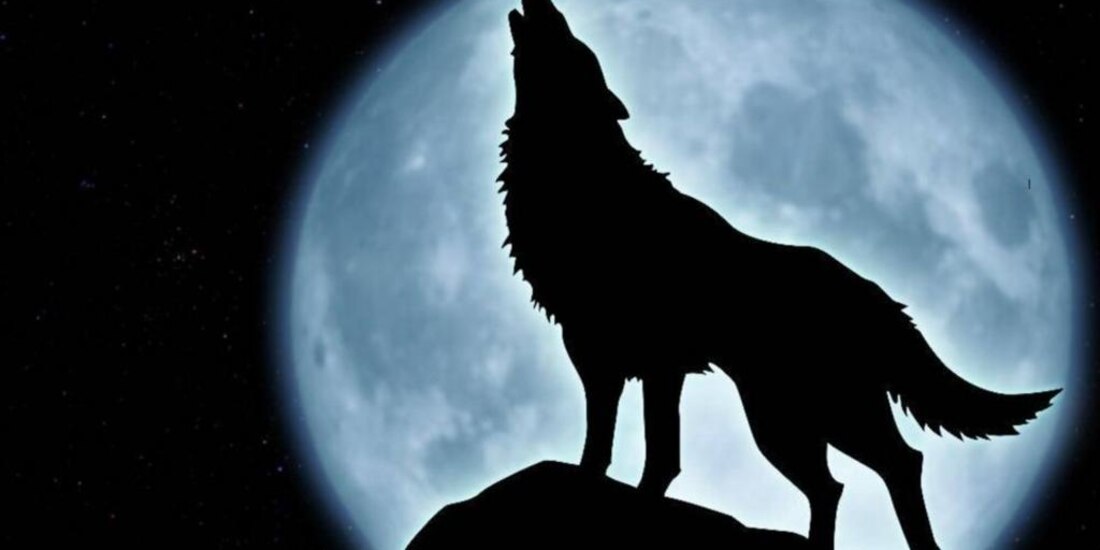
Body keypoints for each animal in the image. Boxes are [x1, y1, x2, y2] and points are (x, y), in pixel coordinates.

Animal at [499, 1, 1060, 548]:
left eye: (574, 46)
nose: (548, 5)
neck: (587, 178)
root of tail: (877, 294)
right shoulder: (609, 358)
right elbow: (622, 449)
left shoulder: (643, 362)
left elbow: (645, 452)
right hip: (790, 420)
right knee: (835, 485)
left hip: (809, 415)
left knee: (897, 464)